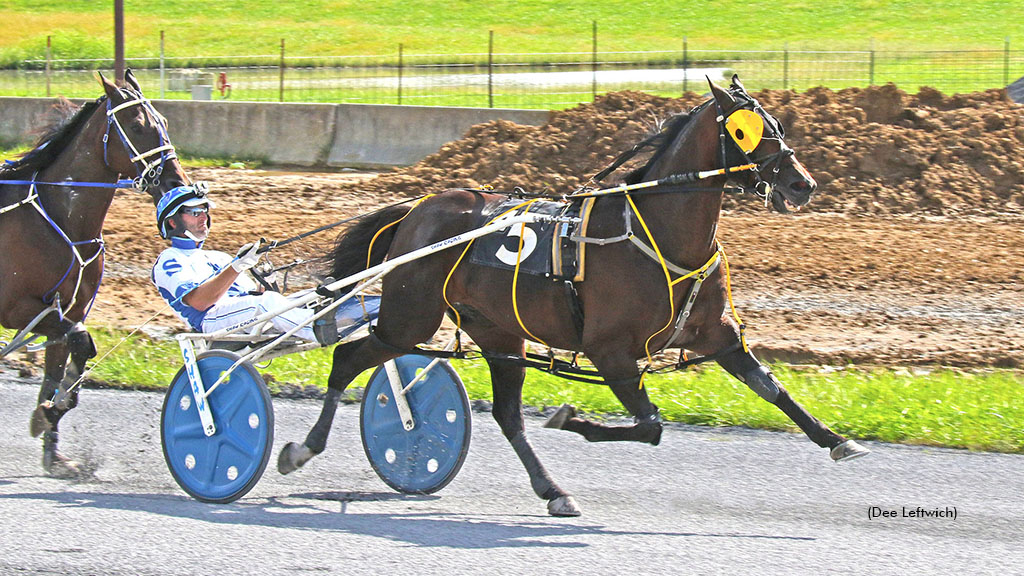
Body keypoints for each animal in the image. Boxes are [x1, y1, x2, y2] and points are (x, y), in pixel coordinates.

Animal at [0, 70, 190, 471]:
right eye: (136, 125)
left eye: (164, 122)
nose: (175, 183)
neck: (61, 220)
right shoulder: (19, 309)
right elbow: (82, 343)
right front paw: (47, 414)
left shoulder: (67, 311)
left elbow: (62, 368)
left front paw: (54, 451)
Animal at [278, 75, 864, 510]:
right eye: (744, 130)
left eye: (778, 123)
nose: (802, 183)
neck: (659, 230)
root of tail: (417, 209)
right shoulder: (611, 351)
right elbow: (650, 426)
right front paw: (572, 418)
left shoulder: (716, 334)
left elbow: (774, 390)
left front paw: (839, 440)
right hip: (410, 317)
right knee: (348, 359)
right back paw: (301, 449)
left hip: (496, 331)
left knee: (507, 415)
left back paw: (552, 490)